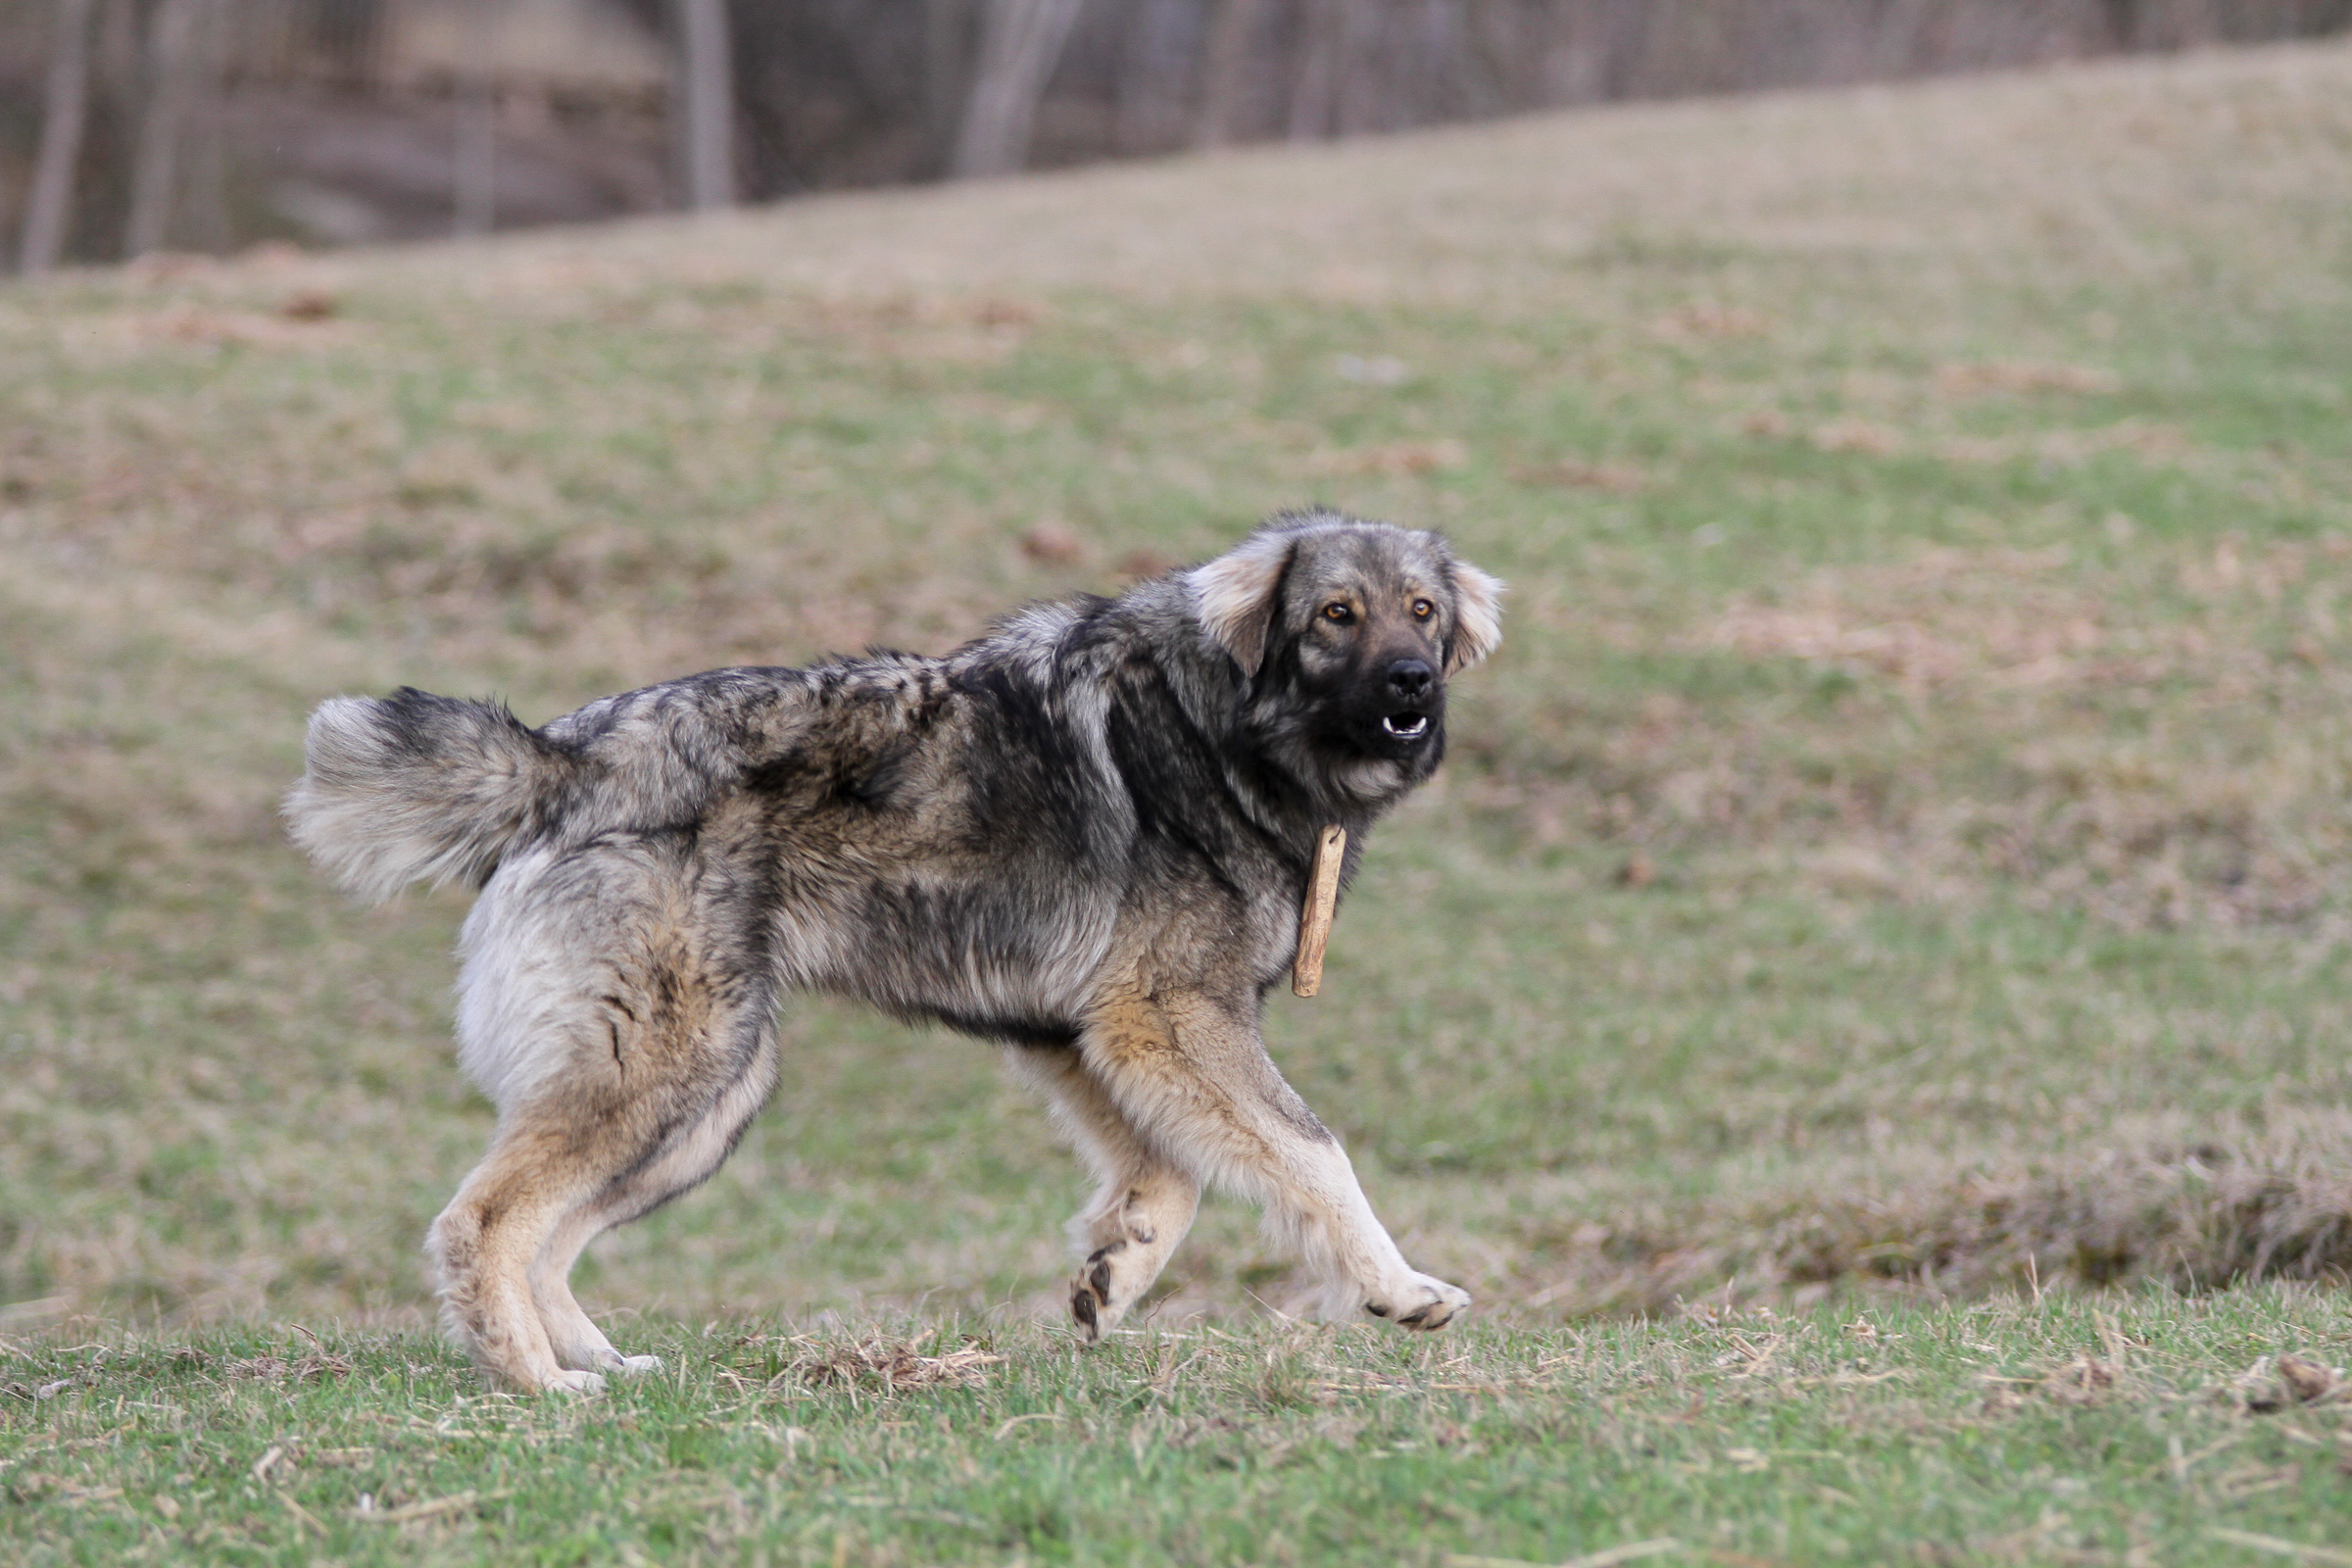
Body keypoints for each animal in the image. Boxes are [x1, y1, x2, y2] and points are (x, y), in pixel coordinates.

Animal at [289, 510, 1505, 1392]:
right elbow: (1313, 1152)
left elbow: (1171, 1174)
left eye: (1422, 611)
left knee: (550, 1236)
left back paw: (599, 1360)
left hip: (707, 1099)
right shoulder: (1172, 1011)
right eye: (1337, 614)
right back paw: (536, 1382)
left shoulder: (1084, 1032)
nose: (1413, 682)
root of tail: (559, 760)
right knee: (487, 1223)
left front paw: (1114, 1273)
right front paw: (1401, 1290)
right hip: (668, 1069)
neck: (1221, 725)